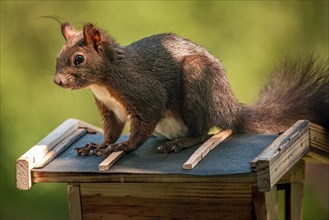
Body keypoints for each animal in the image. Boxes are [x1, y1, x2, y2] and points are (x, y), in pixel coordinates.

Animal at [54, 21, 328, 156]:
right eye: (58, 55)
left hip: (197, 81)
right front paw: (98, 146)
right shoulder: (109, 109)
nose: (57, 81)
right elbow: (111, 130)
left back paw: (181, 143)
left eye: (78, 59)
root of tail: (230, 109)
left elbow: (143, 124)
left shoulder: (143, 91)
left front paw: (124, 146)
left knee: (201, 131)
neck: (103, 82)